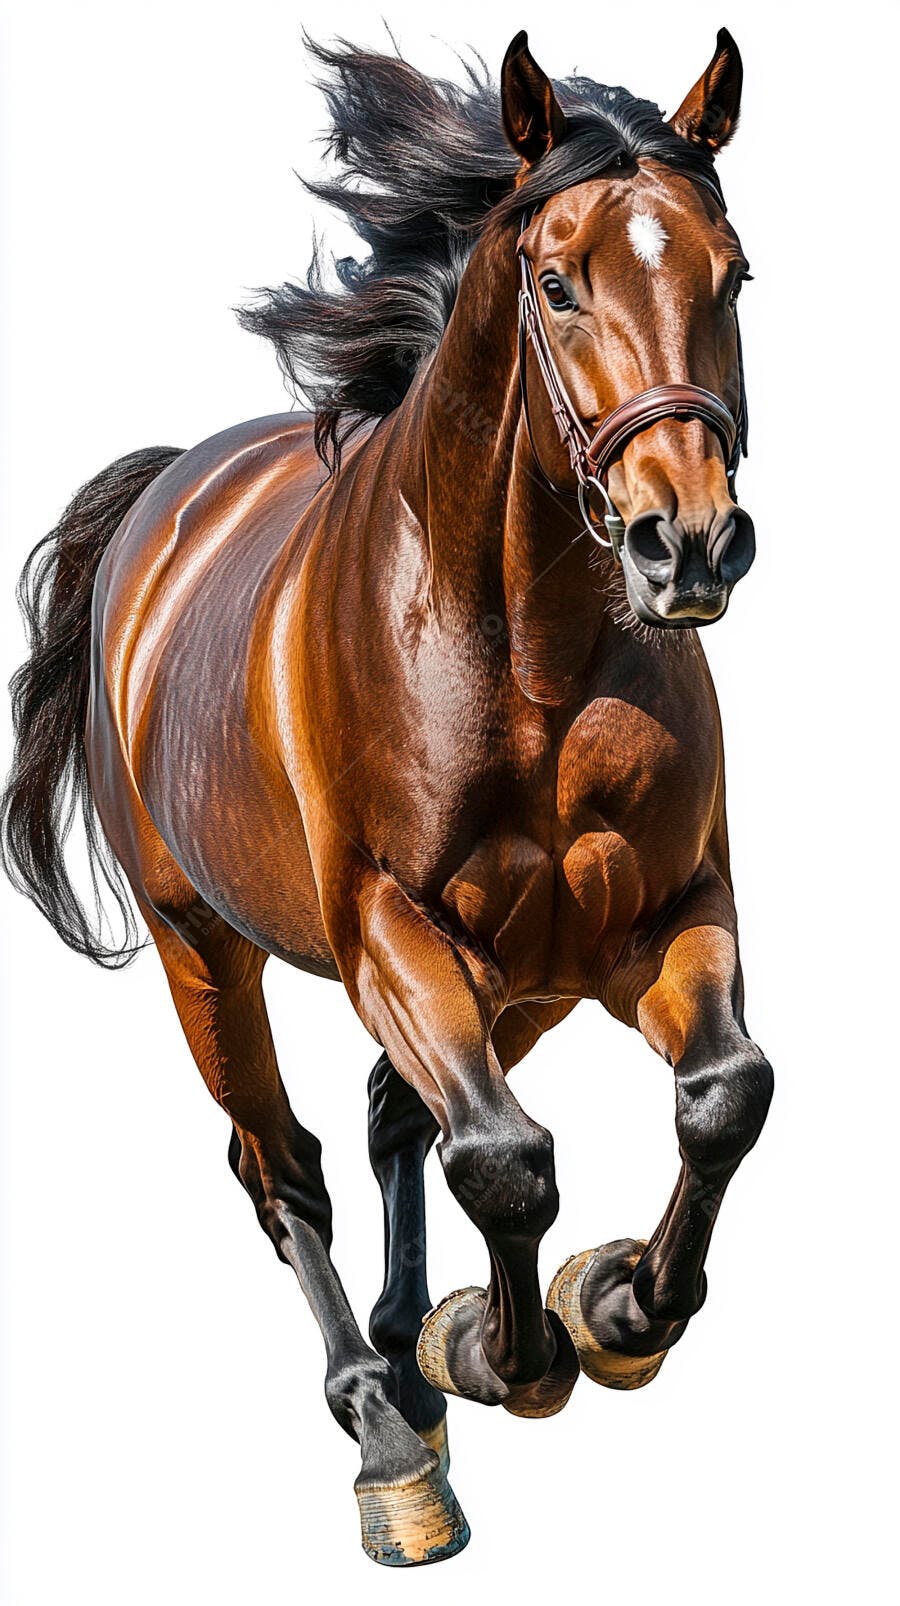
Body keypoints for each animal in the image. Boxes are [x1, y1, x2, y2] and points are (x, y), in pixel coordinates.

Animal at [1, 29, 773, 1566]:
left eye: (733, 273)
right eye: (558, 282)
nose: (691, 544)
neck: (530, 656)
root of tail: (161, 506)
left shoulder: (659, 915)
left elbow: (723, 1095)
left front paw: (614, 1308)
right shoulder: (390, 933)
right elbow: (509, 1161)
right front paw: (510, 1354)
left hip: (524, 976)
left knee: (389, 1112)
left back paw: (419, 1346)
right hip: (204, 947)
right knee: (282, 1161)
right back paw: (386, 1430)